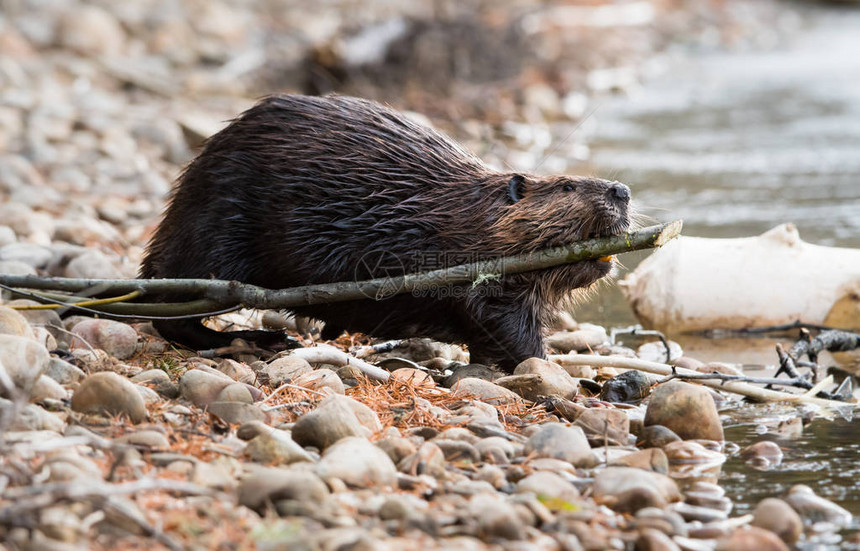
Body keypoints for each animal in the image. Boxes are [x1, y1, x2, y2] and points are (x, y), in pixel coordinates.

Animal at [138, 95, 628, 374]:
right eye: (568, 186)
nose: (622, 190)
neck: (467, 214)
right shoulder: (474, 275)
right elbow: (504, 325)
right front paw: (556, 371)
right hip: (214, 234)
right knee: (173, 313)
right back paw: (265, 339)